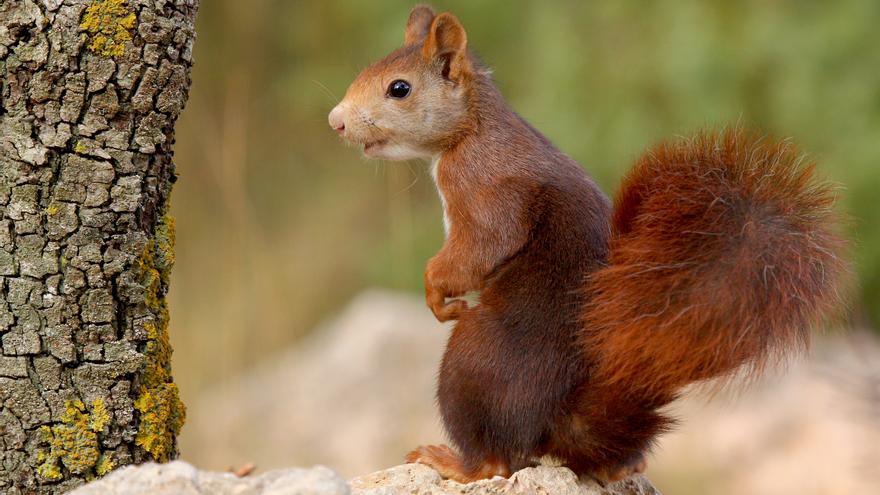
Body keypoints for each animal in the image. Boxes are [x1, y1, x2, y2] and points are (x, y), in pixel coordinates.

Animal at [326, 3, 848, 484]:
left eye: (399, 88)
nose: (336, 122)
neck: (472, 129)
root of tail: (560, 420)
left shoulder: (485, 191)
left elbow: (481, 246)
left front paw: (437, 294)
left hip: (469, 365)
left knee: (497, 461)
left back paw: (453, 461)